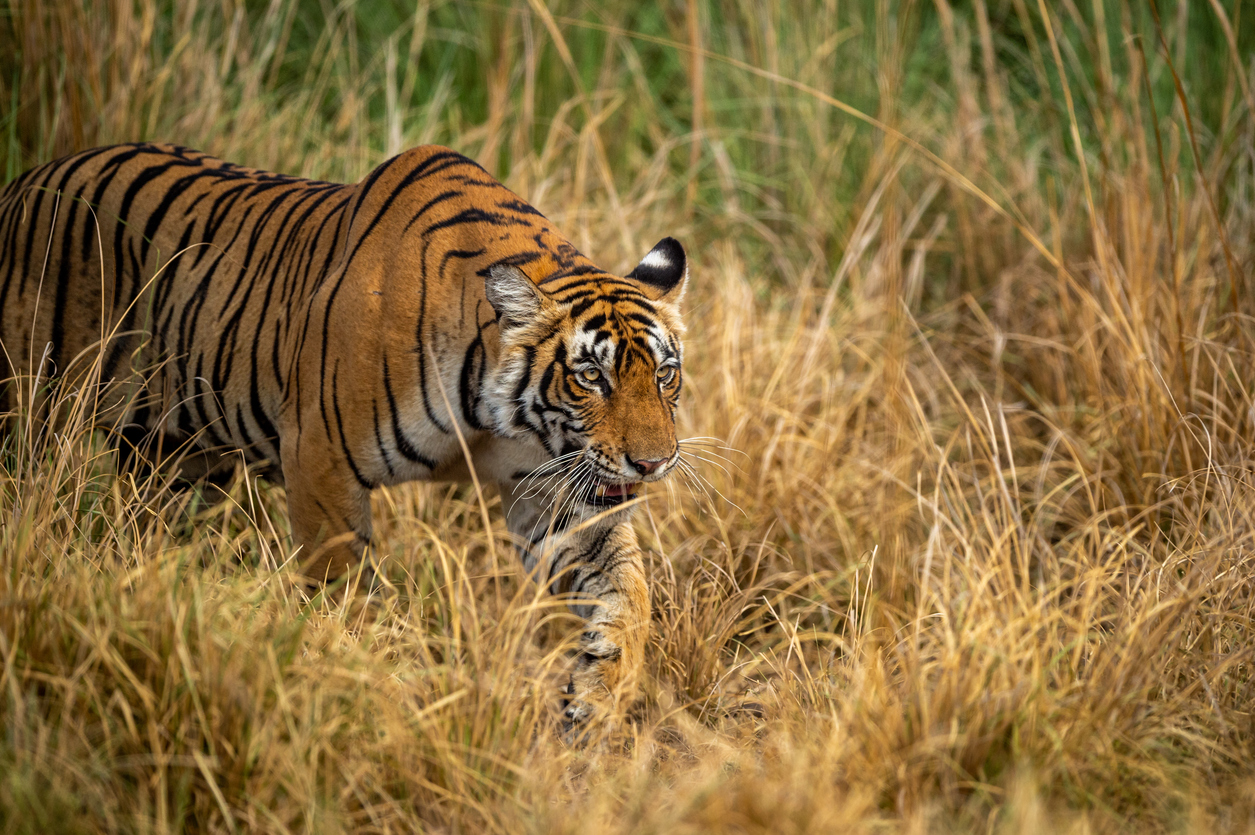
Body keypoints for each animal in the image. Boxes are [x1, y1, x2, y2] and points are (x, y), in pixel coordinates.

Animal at [0, 142, 689, 726]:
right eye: (591, 376)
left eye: (664, 374)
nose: (653, 463)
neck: (493, 418)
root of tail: (25, 179)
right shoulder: (319, 461)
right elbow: (341, 590)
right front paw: (358, 680)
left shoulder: (551, 489)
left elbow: (626, 591)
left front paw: (599, 697)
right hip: (35, 412)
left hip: (172, 458)